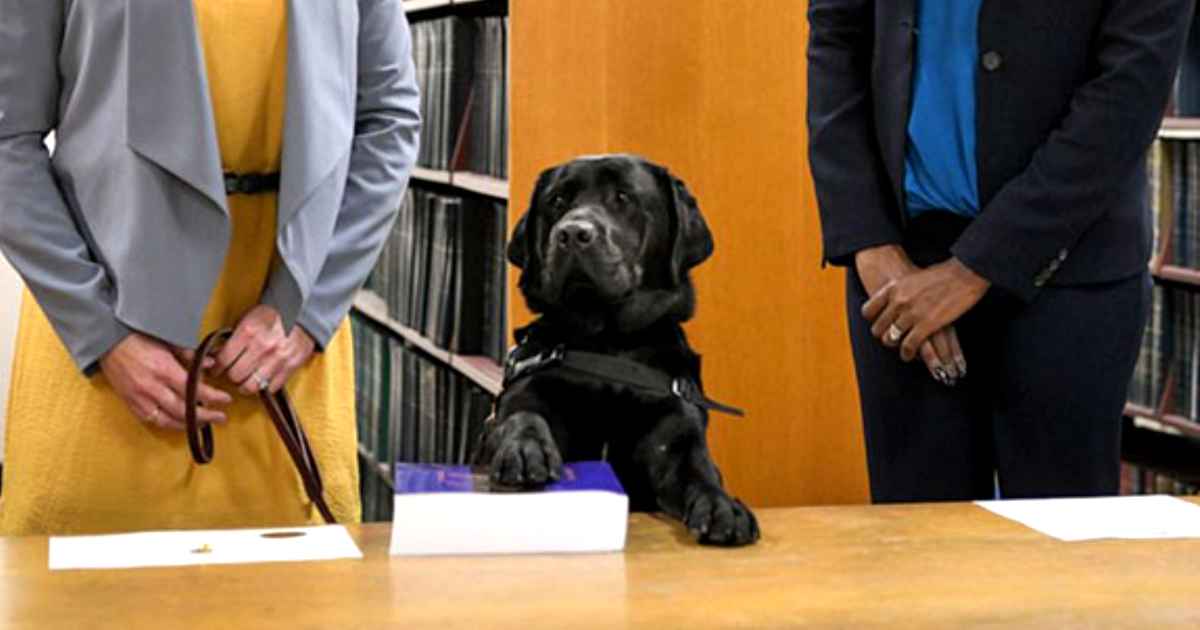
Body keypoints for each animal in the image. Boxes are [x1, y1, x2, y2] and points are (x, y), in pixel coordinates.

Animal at [472, 153, 753, 544]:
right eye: (557, 201)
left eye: (624, 197)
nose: (572, 233)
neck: (609, 344)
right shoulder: (520, 396)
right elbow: (523, 415)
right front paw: (524, 448)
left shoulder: (676, 431)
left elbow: (700, 471)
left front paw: (722, 506)